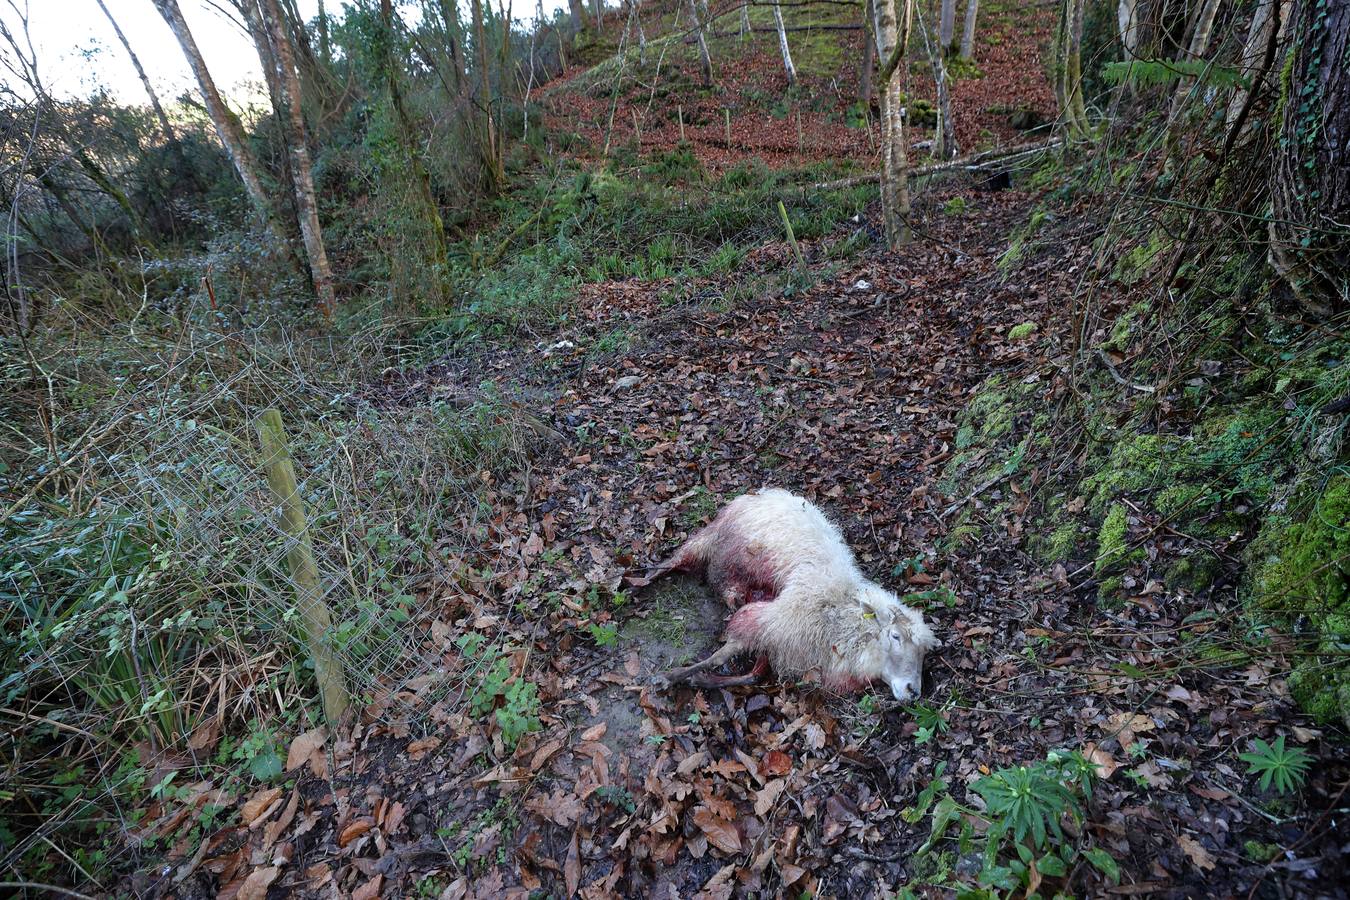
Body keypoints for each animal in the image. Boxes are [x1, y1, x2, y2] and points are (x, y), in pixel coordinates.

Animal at [653, 488, 939, 701]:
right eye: (895, 636)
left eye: (924, 652)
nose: (914, 691)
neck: (838, 609)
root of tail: (761, 494)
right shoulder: (769, 622)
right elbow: (720, 656)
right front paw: (673, 676)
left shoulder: (780, 643)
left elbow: (755, 674)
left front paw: (700, 679)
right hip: (716, 544)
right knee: (671, 563)